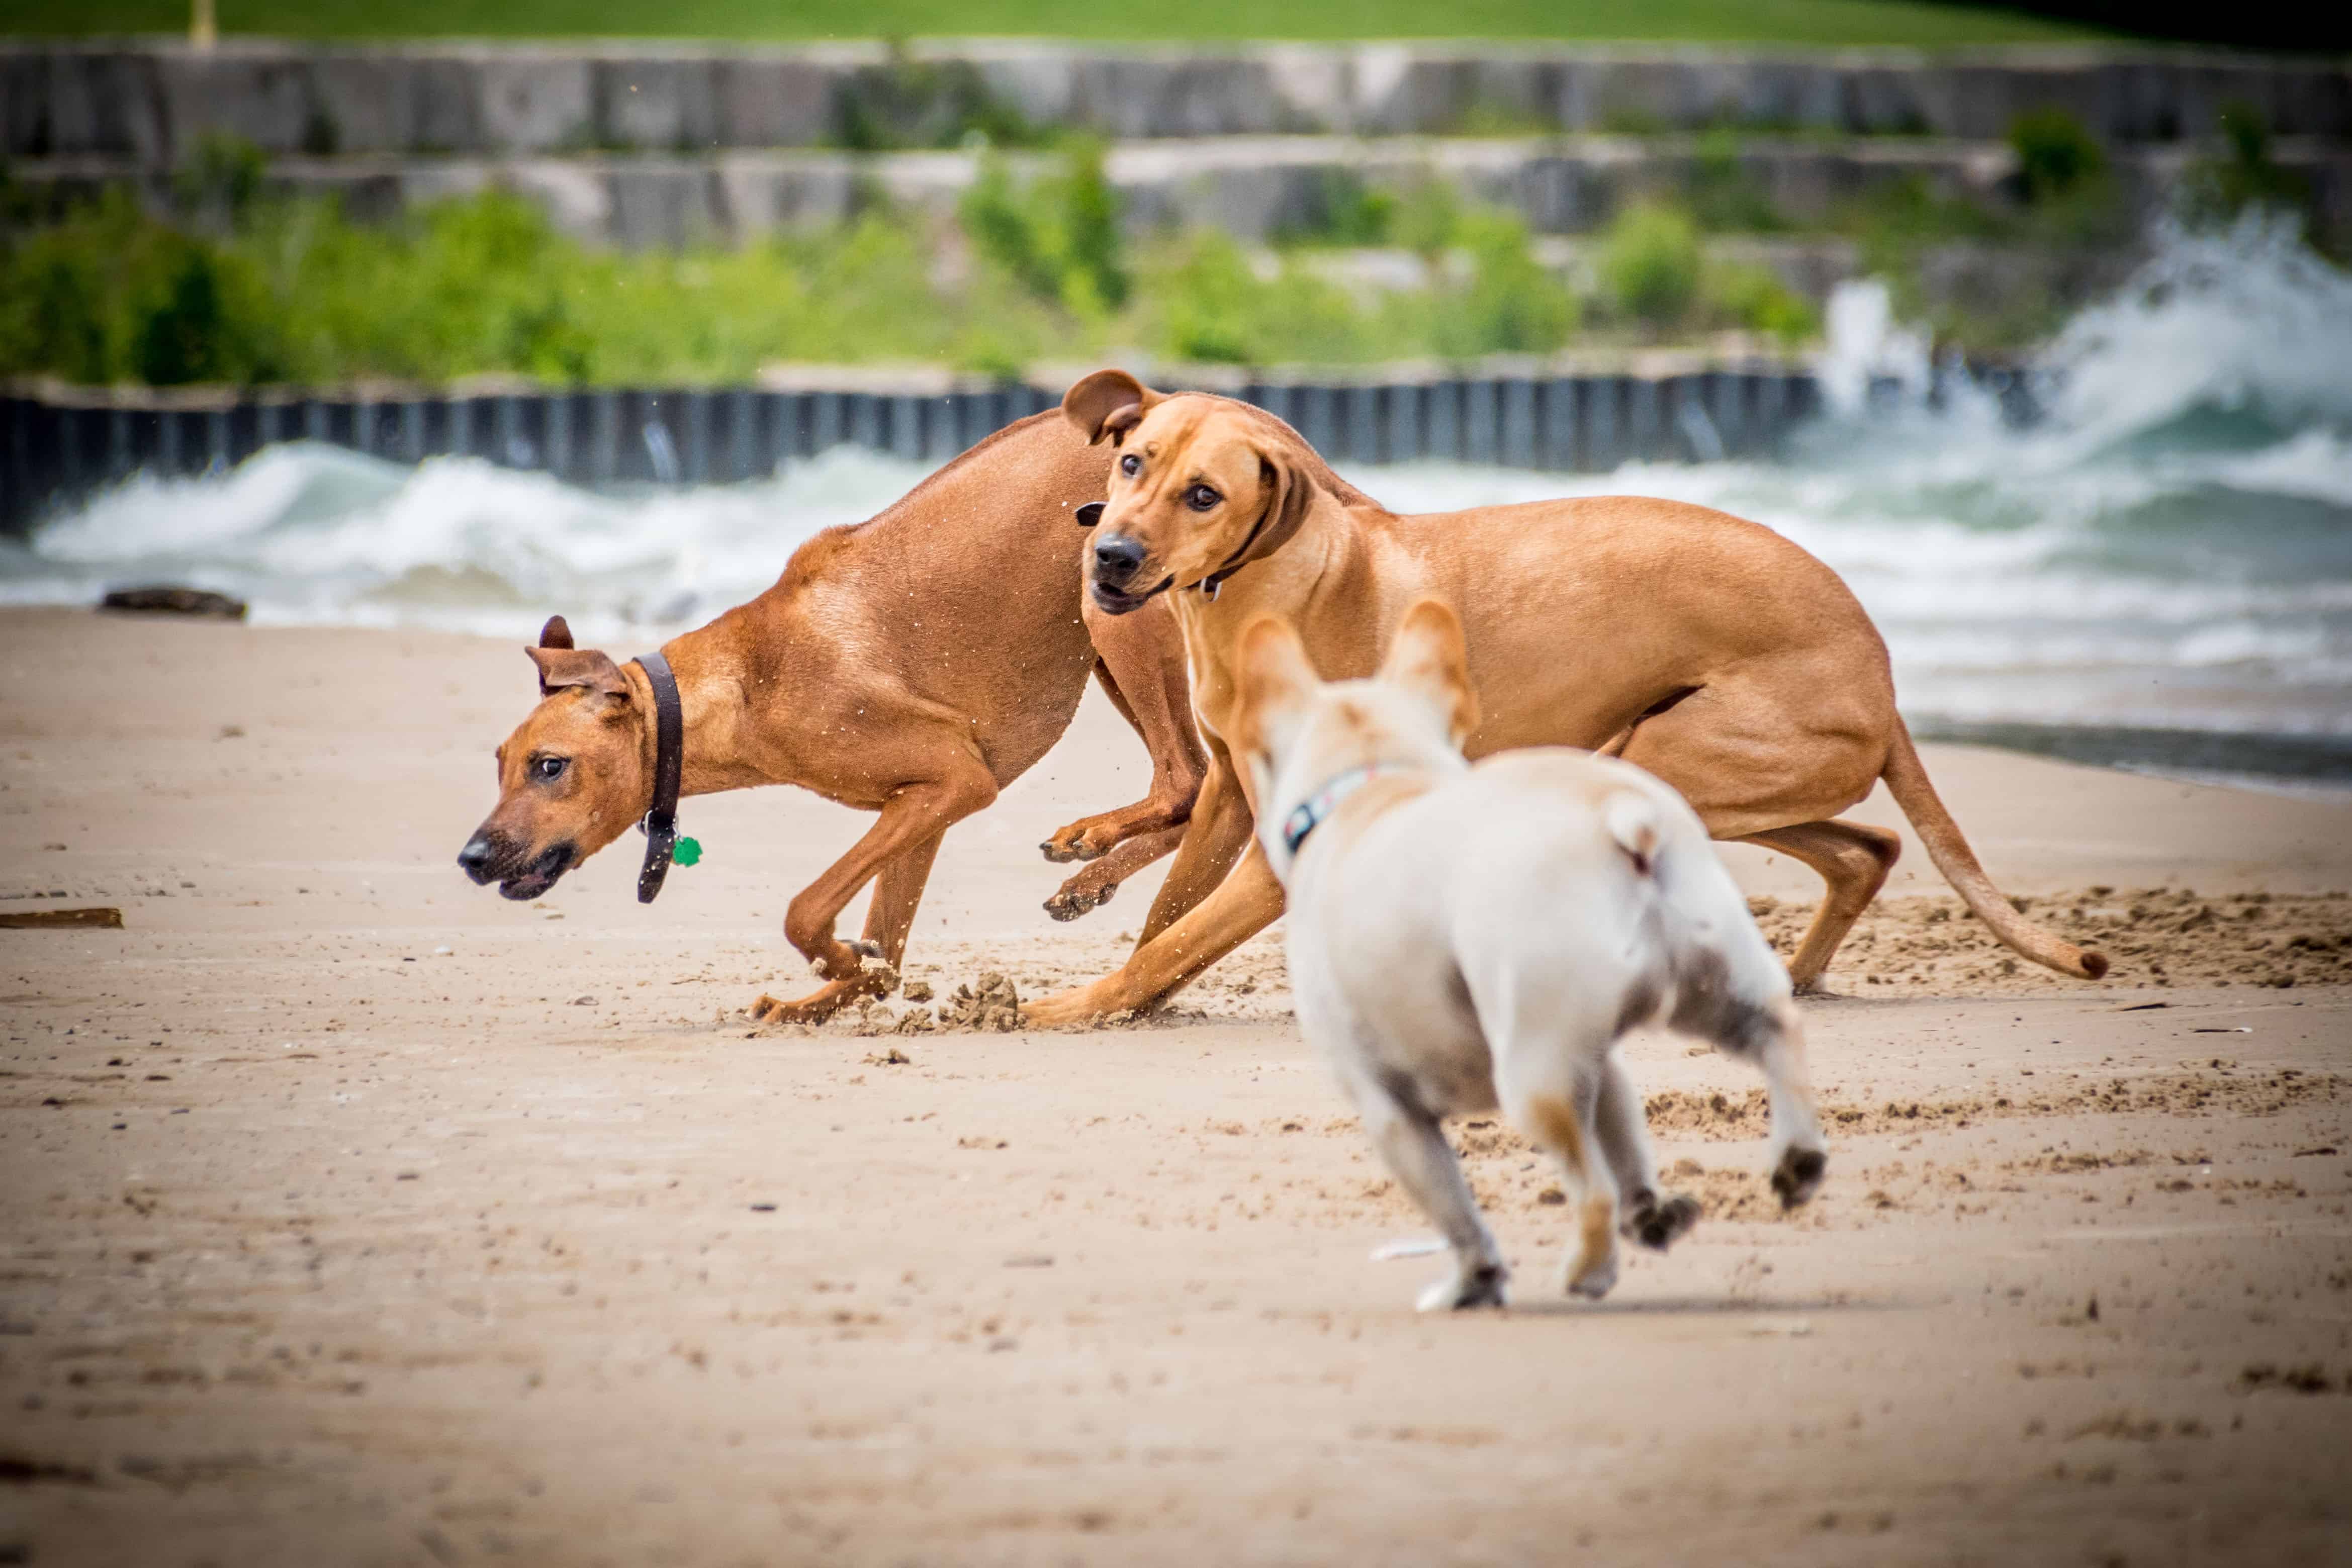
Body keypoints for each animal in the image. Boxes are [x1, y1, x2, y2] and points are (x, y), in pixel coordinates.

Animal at [456, 411, 1204, 1025]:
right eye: (499, 765)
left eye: (550, 765)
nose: (471, 857)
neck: (747, 680)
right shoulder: (925, 803)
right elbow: (888, 952)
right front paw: (833, 989)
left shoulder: (956, 778)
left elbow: (805, 909)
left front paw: (837, 962)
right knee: (1195, 789)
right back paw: (1089, 881)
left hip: (1115, 618)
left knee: (1182, 782)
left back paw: (1088, 841)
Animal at [1021, 371, 2107, 1030]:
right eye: (1130, 462)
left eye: (1203, 495)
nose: (1109, 554)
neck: (1273, 590)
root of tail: (1877, 664)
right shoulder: (1230, 798)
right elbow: (1166, 920)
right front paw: (1119, 981)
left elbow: (1174, 939)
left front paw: (1070, 1006)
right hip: (1700, 767)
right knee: (1866, 847)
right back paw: (1795, 971)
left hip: (1664, 759)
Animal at [1241, 602, 1825, 1316]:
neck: (1375, 782)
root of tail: (1618, 816)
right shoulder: (1599, 1062)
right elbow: (1625, 1140)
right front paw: (1650, 1212)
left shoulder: (1389, 1109)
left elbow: (1456, 1209)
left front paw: (1474, 1279)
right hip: (1707, 983)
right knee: (1773, 1031)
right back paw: (1794, 1161)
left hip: (1531, 1073)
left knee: (1588, 1187)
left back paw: (1586, 1270)